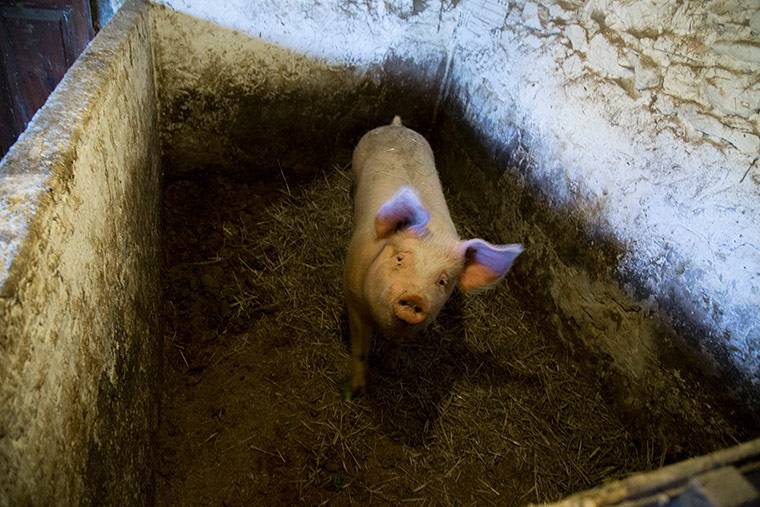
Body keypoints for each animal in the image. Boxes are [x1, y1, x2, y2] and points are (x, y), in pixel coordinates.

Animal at [343, 116, 524, 397]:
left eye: (442, 280)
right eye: (399, 259)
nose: (415, 297)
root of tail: (396, 125)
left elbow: (397, 344)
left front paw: (391, 368)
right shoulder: (353, 298)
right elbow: (360, 348)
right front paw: (357, 393)